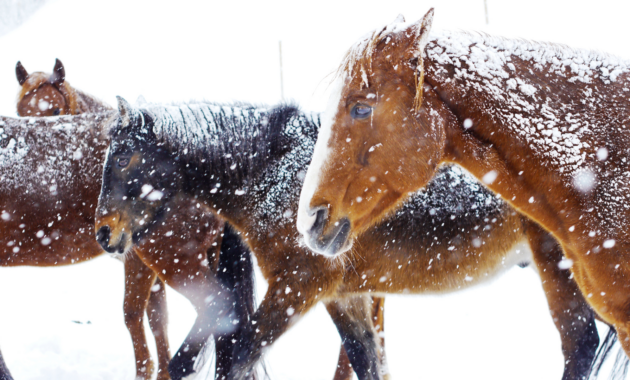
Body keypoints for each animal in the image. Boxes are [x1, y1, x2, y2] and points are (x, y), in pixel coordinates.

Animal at [97, 98, 608, 380]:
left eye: (122, 159)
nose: (104, 232)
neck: (273, 171)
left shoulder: (297, 288)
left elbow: (236, 359)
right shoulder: (342, 295)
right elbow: (366, 364)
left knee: (581, 344)